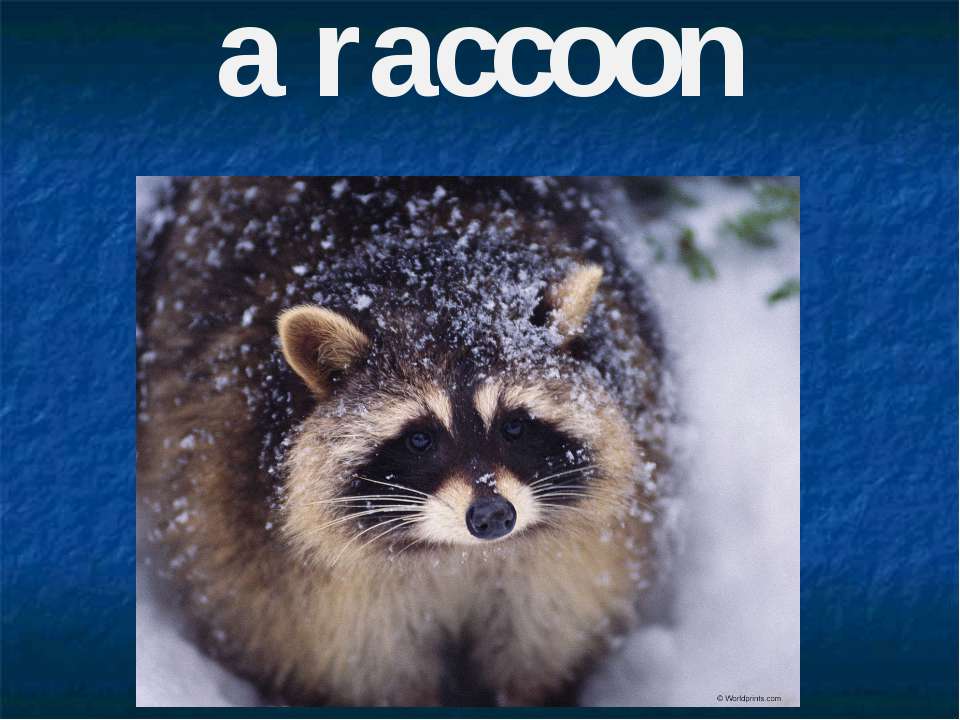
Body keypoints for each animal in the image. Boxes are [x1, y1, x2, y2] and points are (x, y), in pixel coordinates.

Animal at [137, 176, 670, 706]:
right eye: (419, 439)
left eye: (514, 426)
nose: (493, 516)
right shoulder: (292, 578)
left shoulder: (566, 568)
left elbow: (542, 650)